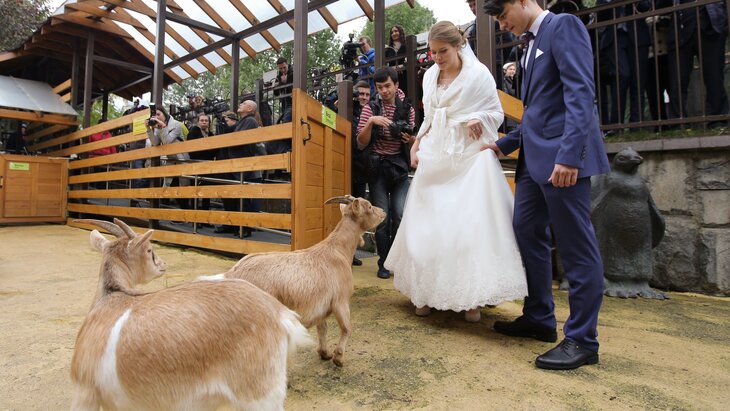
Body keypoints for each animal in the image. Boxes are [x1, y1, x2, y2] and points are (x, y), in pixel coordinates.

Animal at [70, 218, 312, 411]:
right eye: (149, 250)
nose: (163, 264)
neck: (111, 298)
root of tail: (280, 313)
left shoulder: (84, 392)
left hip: (259, 395)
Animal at [213, 196, 385, 367]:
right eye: (369, 206)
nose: (383, 212)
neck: (338, 252)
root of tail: (231, 273)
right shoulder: (340, 301)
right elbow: (347, 328)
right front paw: (338, 358)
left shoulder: (322, 306)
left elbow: (323, 328)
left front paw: (325, 354)